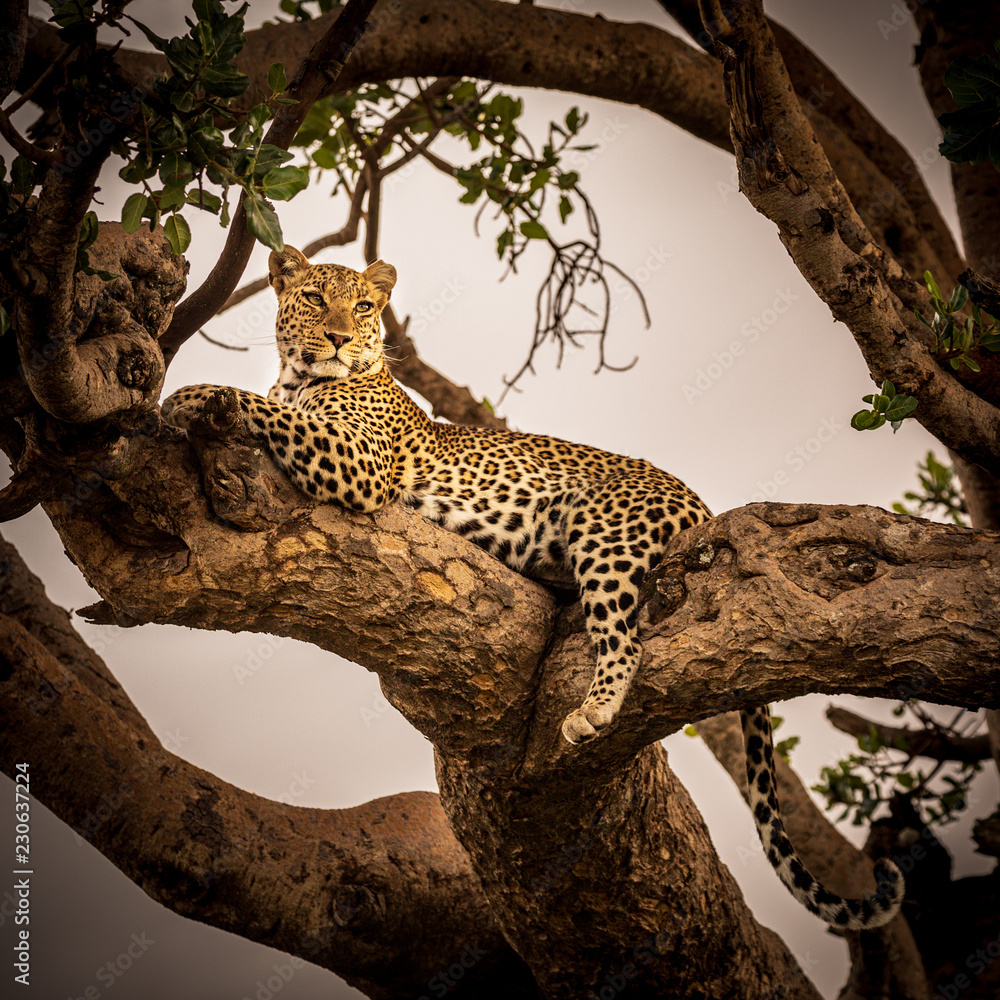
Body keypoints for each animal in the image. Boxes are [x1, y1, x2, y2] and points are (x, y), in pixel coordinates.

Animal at [161, 246, 904, 930]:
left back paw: (594, 710)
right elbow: (276, 408)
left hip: (602, 526)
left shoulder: (360, 460)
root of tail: (698, 500)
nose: (341, 338)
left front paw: (187, 395)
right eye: (315, 298)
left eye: (364, 307)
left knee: (625, 638)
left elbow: (272, 412)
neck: (300, 378)